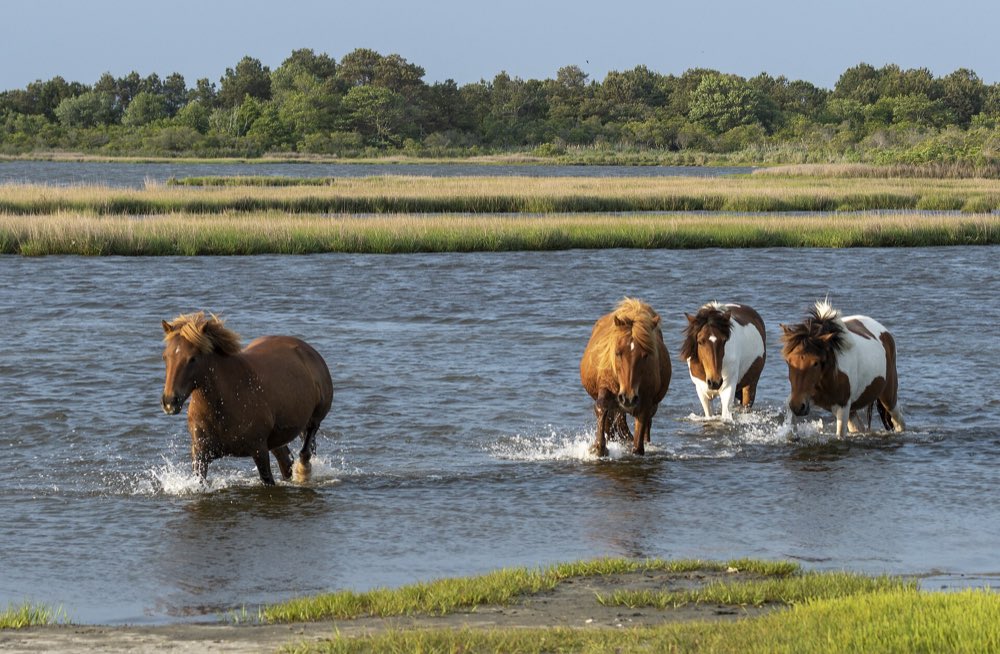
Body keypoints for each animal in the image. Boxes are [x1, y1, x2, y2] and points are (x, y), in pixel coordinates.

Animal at [160, 312, 334, 485]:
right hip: (276, 439)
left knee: (306, 448)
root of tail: (308, 350)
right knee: (287, 460)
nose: (170, 402)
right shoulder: (200, 454)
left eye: (193, 358)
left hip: (314, 419)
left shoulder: (259, 450)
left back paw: (303, 471)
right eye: (165, 357)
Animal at [580, 298, 671, 456]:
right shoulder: (606, 386)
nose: (628, 397)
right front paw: (599, 447)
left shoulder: (645, 401)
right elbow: (601, 408)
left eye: (646, 355)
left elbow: (638, 444)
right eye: (617, 352)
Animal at [780, 300, 905, 437]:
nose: (797, 406)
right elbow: (791, 420)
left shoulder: (843, 407)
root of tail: (885, 333)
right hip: (853, 410)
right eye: (788, 361)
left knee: (899, 422)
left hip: (888, 398)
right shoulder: (804, 398)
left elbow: (839, 435)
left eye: (816, 363)